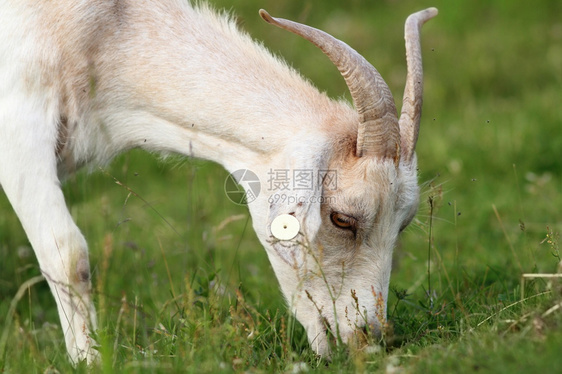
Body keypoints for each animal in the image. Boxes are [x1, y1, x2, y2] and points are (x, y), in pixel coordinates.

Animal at [0, 0, 436, 362]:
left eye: (402, 225)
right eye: (342, 219)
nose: (369, 337)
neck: (106, 29)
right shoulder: (19, 126)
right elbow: (68, 254)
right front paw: (88, 362)